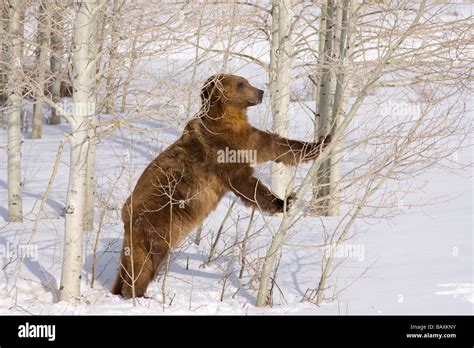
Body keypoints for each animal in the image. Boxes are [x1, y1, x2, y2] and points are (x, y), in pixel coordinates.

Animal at [113, 75, 332, 298]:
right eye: (241, 84)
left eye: (246, 81)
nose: (260, 92)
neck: (227, 121)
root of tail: (125, 212)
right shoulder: (219, 149)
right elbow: (245, 182)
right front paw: (284, 201)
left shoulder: (247, 138)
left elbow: (276, 145)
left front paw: (321, 142)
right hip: (159, 221)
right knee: (147, 261)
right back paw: (135, 293)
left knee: (128, 263)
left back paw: (119, 289)